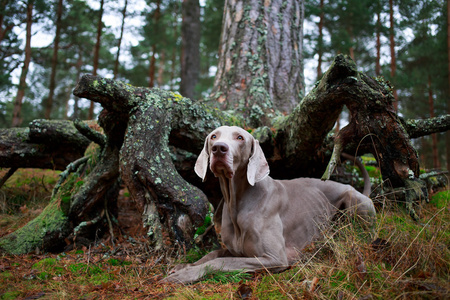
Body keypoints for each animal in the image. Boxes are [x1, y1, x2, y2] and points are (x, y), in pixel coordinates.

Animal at [163, 125, 374, 282]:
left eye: (240, 137)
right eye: (214, 136)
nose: (219, 148)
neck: (236, 201)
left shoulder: (275, 258)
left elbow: (220, 262)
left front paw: (185, 274)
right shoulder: (234, 248)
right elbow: (212, 254)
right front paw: (185, 266)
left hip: (353, 201)